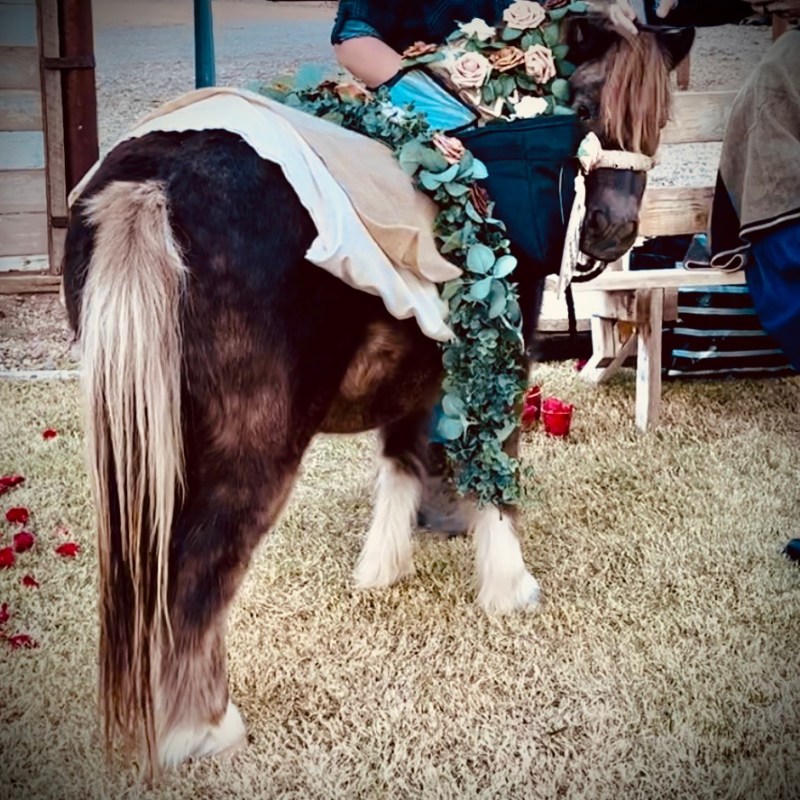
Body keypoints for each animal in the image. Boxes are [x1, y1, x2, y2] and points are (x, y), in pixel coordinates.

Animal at [61, 22, 694, 771]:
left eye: (660, 116)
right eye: (592, 107)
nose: (612, 233)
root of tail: (150, 187)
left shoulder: (423, 361)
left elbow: (402, 458)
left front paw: (383, 567)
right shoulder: (503, 350)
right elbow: (496, 461)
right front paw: (509, 586)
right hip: (252, 447)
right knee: (197, 572)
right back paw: (205, 730)